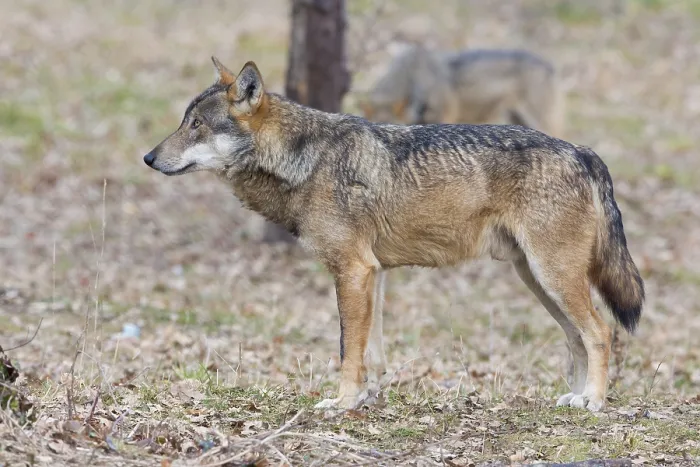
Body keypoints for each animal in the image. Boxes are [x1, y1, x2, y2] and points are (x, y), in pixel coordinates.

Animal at [143, 57, 644, 413]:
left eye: (196, 126)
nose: (148, 158)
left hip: (552, 277)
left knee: (601, 332)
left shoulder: (353, 270)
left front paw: (342, 403)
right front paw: (367, 400)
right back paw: (574, 398)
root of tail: (581, 151)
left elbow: (348, 348)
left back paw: (593, 401)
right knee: (578, 337)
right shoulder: (374, 272)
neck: (305, 160)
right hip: (538, 281)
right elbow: (372, 353)